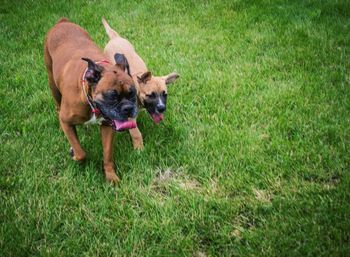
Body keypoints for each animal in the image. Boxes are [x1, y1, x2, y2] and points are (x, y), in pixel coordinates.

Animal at [43, 18, 137, 182]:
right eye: (112, 96)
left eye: (132, 94)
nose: (128, 108)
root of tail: (62, 22)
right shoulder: (67, 121)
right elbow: (81, 153)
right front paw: (74, 154)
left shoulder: (107, 127)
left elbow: (107, 155)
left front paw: (111, 176)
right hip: (52, 83)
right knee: (57, 106)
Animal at [100, 18, 178, 149]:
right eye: (150, 95)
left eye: (165, 94)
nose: (162, 108)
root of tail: (115, 38)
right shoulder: (129, 115)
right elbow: (136, 133)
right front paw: (139, 149)